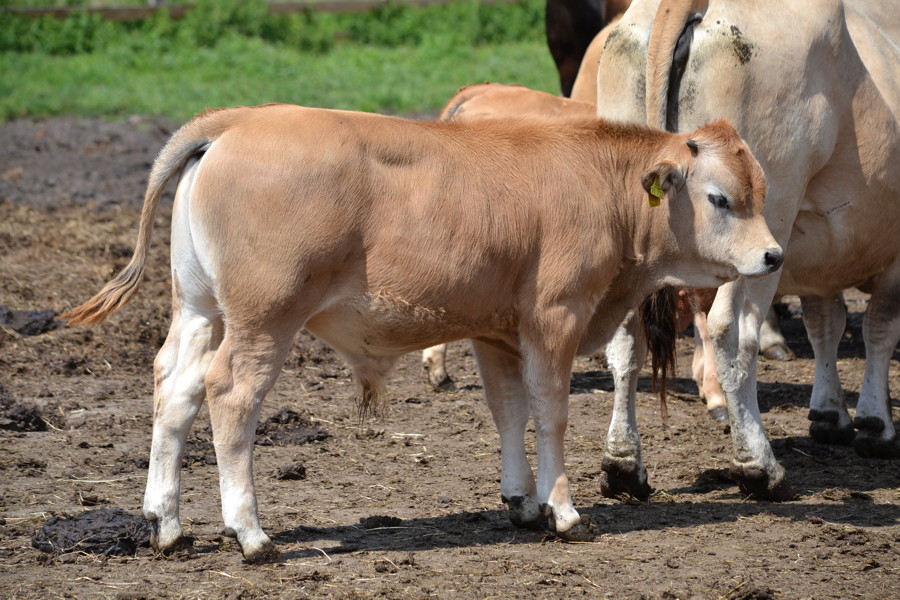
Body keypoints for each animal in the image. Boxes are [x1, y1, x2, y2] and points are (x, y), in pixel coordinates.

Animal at [63, 103, 780, 564]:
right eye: (719, 198)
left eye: (760, 191)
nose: (773, 256)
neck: (599, 183)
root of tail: (236, 121)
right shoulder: (555, 317)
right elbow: (549, 413)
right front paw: (564, 511)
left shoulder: (497, 330)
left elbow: (508, 410)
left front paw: (521, 500)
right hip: (265, 319)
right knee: (230, 397)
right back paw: (251, 534)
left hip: (199, 308)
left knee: (176, 388)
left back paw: (166, 523)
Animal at [592, 0, 900, 500]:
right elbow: (879, 328)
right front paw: (875, 426)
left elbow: (825, 324)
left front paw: (830, 415)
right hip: (760, 235)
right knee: (730, 332)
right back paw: (758, 465)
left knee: (624, 332)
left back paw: (623, 465)